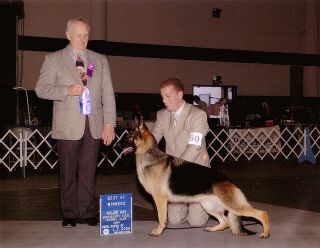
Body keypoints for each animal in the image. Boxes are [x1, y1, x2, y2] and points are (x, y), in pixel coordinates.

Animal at [121, 116, 268, 238]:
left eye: (128, 137)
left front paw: (158, 231)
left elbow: (162, 218)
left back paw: (265, 234)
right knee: (225, 222)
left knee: (262, 213)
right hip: (208, 205)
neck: (148, 154)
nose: (117, 145)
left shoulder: (160, 199)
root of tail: (228, 179)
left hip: (233, 206)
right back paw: (212, 229)